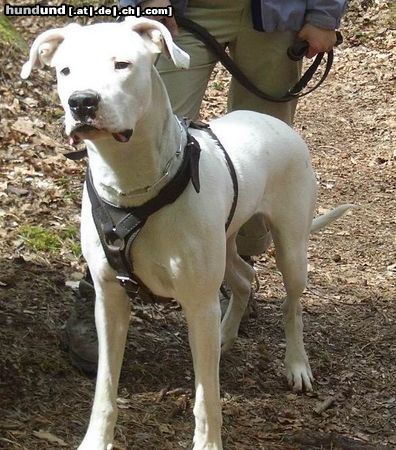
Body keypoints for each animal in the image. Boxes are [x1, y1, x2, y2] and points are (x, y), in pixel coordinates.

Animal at [21, 17, 352, 450]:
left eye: (122, 64)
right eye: (65, 71)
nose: (82, 102)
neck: (133, 186)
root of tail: (277, 124)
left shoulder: (196, 302)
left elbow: (207, 397)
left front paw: (208, 442)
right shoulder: (110, 301)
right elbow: (105, 388)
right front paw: (96, 439)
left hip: (291, 246)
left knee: (291, 304)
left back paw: (296, 364)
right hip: (223, 244)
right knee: (244, 278)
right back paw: (226, 335)